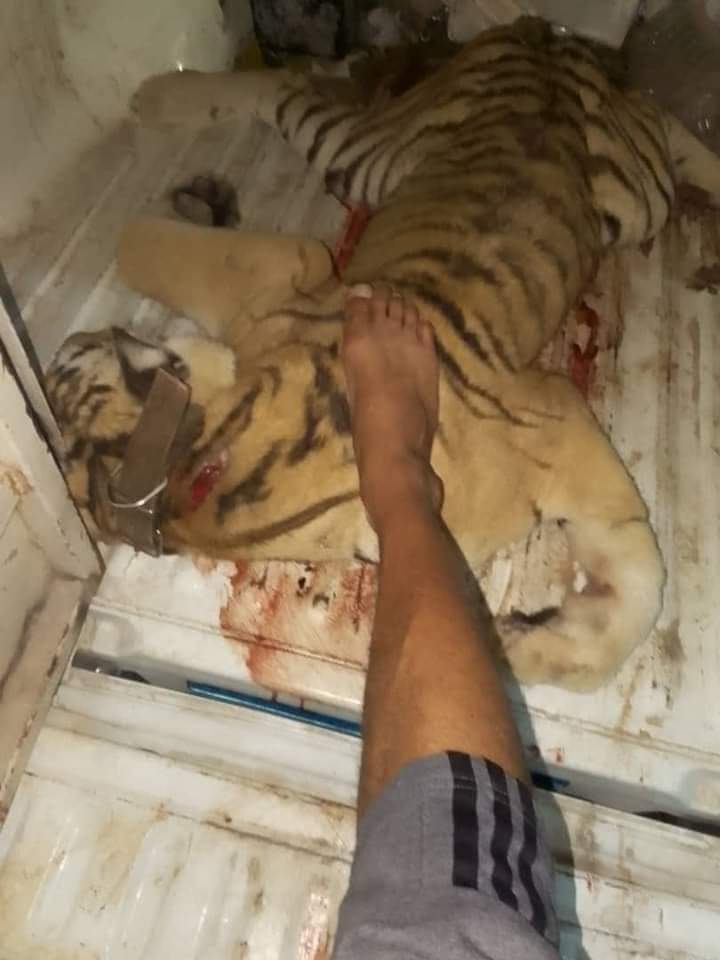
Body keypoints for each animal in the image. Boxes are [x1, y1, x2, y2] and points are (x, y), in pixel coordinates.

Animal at [45, 17, 720, 691]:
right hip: (604, 189)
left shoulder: (553, 412)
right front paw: (526, 646)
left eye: (64, 377)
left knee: (286, 84)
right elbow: (637, 565)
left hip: (420, 160)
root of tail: (542, 34)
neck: (200, 478)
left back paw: (162, 98)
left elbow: (135, 238)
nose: (61, 346)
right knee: (653, 114)